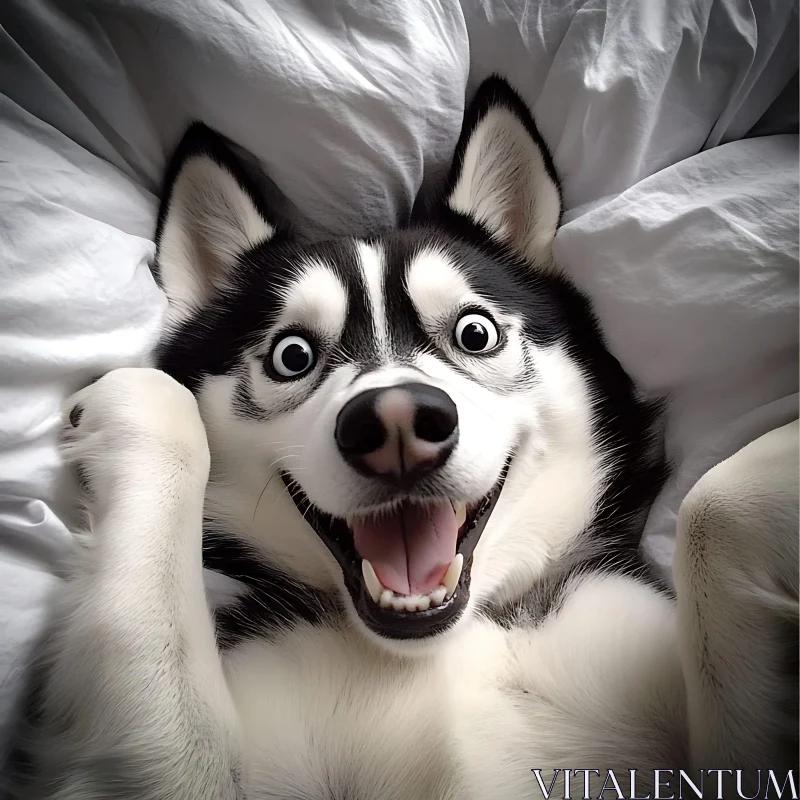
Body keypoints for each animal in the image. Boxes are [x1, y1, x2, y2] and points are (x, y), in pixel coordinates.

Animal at [6, 76, 792, 800]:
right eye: (292, 355)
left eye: (475, 333)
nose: (395, 425)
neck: (436, 650)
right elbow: (147, 630)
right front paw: (141, 404)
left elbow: (714, 504)